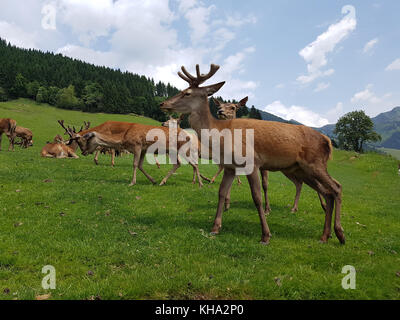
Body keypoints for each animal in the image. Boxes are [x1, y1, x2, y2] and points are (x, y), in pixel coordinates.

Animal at [159, 64, 344, 245]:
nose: (162, 103)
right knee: (326, 192)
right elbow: (221, 192)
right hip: (301, 169)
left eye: (187, 93)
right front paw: (215, 227)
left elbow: (257, 197)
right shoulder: (230, 167)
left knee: (336, 187)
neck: (221, 135)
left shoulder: (252, 162)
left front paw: (266, 235)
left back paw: (339, 233)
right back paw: (325, 235)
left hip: (314, 163)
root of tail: (327, 141)